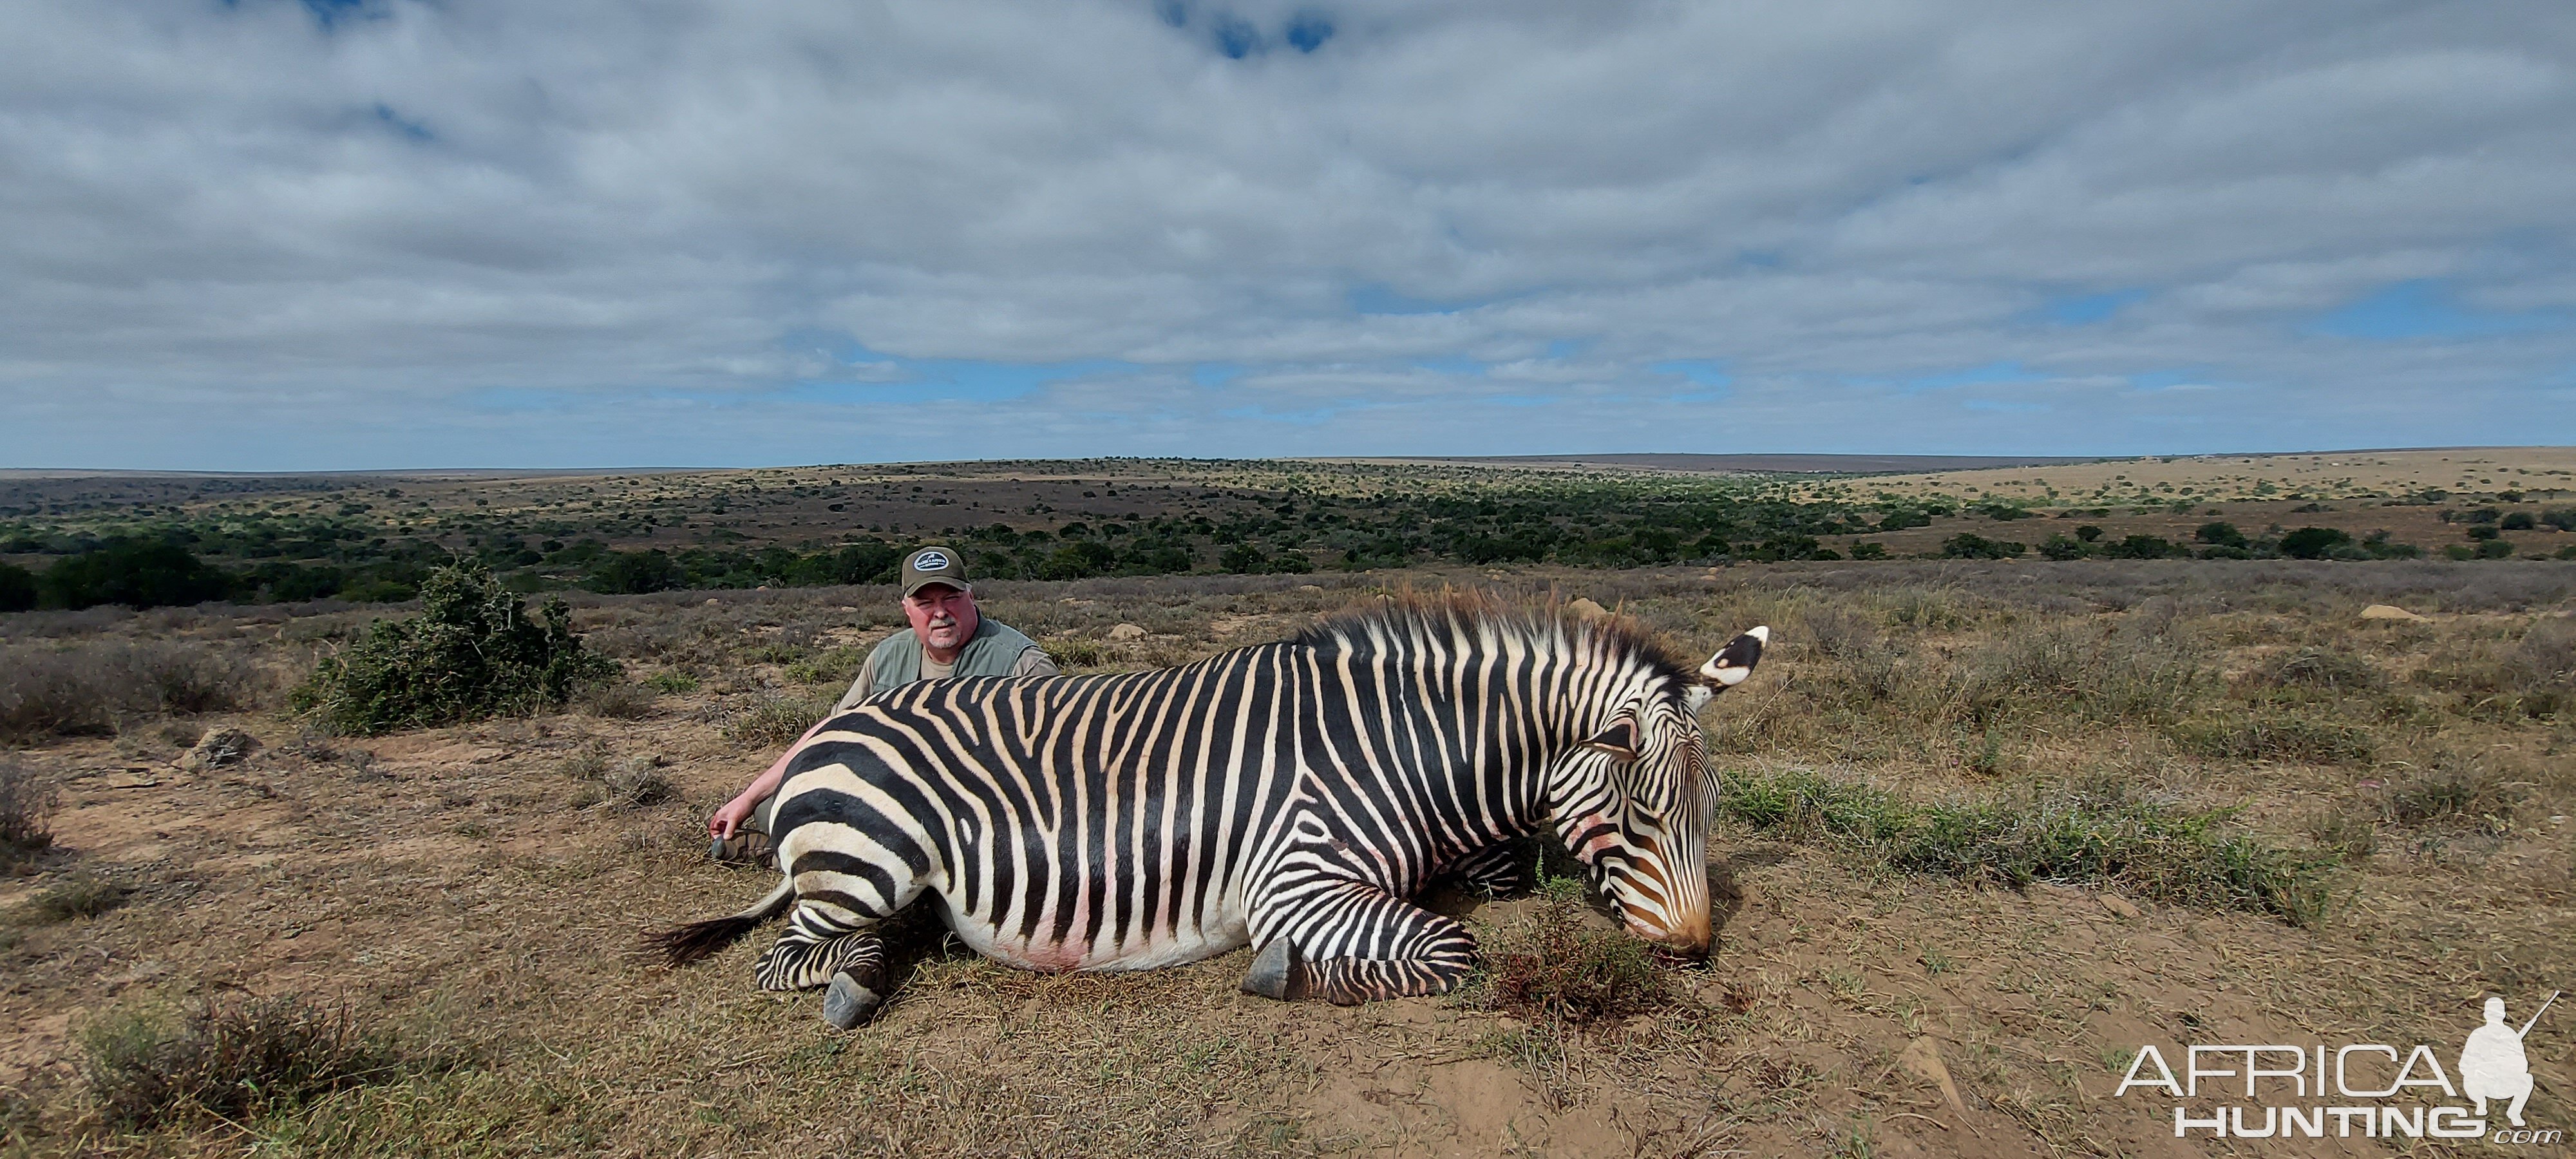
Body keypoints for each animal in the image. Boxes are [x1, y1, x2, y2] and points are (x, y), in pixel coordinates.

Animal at [649, 592, 1772, 1030]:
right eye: (1643, 815)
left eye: (1711, 809)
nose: (1696, 949)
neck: (1396, 747)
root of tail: (822, 731)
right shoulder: (1302, 882)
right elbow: (1453, 951)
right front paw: (1284, 973)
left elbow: (1488, 883)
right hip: (863, 864)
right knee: (790, 957)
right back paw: (858, 983)